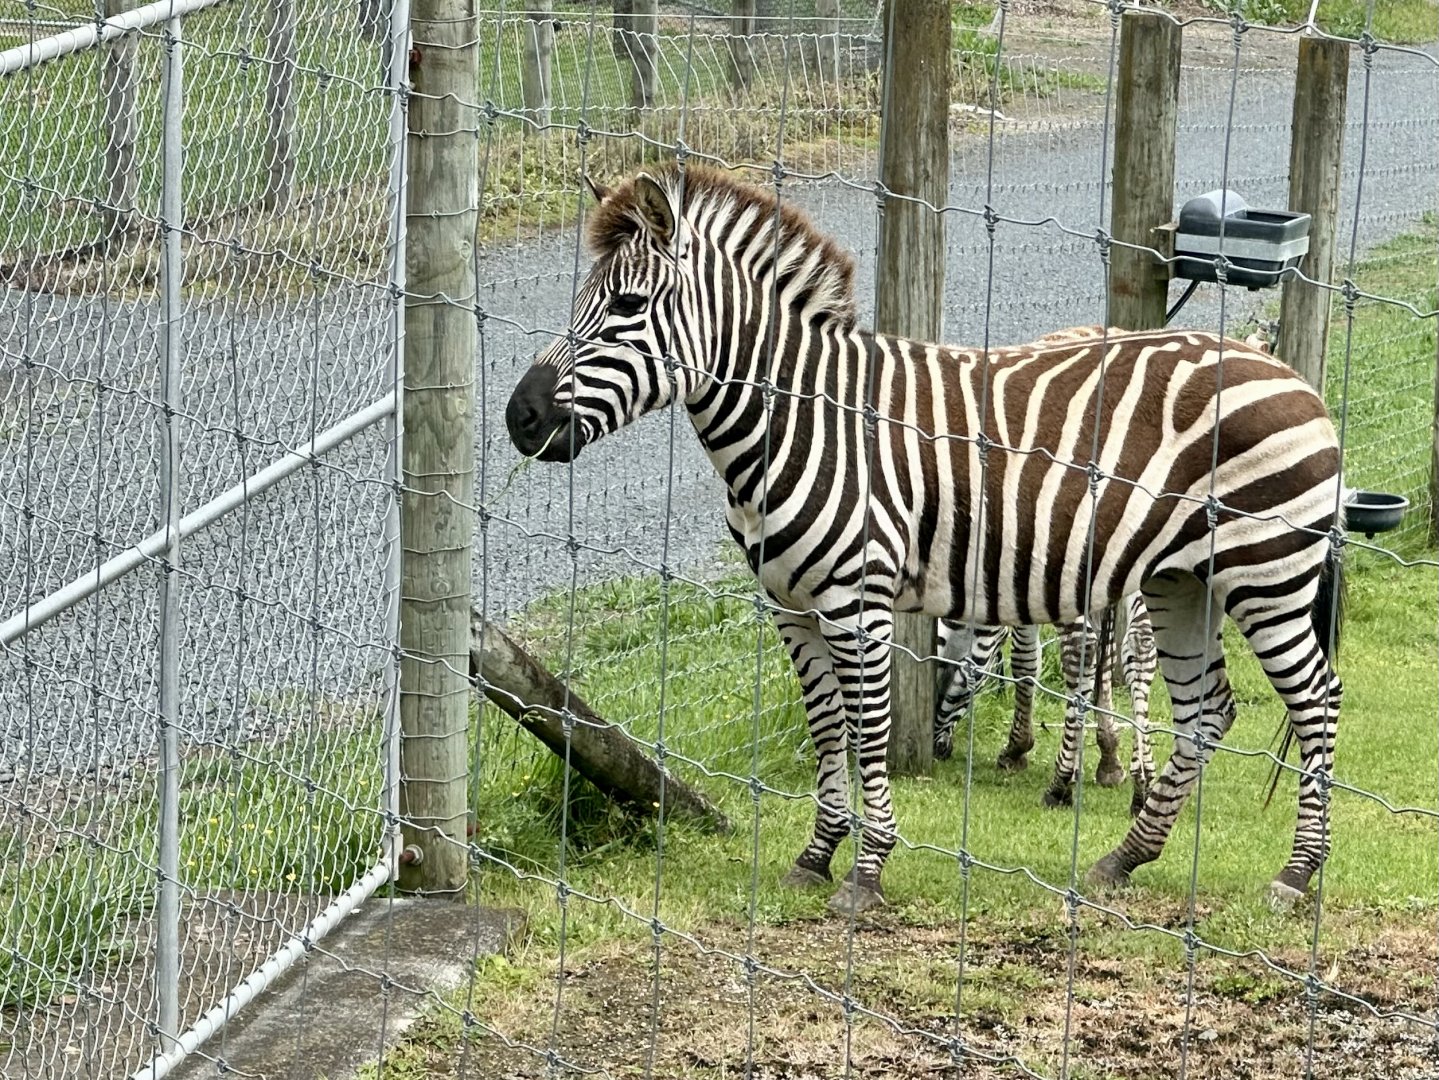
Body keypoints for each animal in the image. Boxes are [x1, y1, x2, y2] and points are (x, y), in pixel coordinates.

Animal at [933, 592, 1159, 818]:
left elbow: (1024, 660)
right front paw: (1107, 760)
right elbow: (1105, 663)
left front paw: (1018, 749)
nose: (937, 751)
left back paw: (1059, 786)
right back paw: (1143, 788)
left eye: (963, 674)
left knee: (1081, 647)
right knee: (1141, 641)